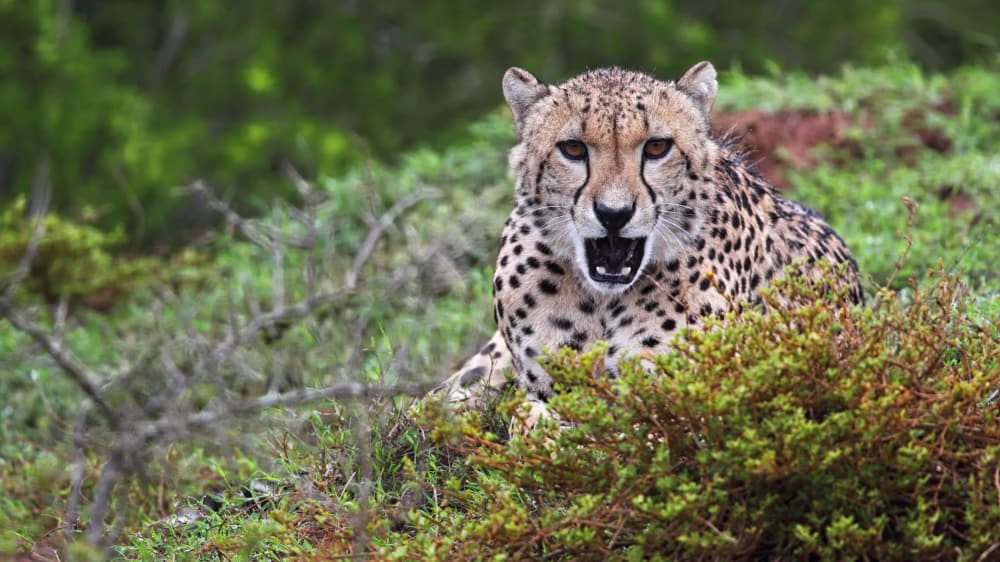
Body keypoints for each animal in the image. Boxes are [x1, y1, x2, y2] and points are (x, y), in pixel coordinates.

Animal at [434, 61, 864, 420]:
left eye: (657, 147)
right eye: (572, 148)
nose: (614, 213)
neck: (601, 301)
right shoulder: (546, 386)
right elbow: (531, 419)